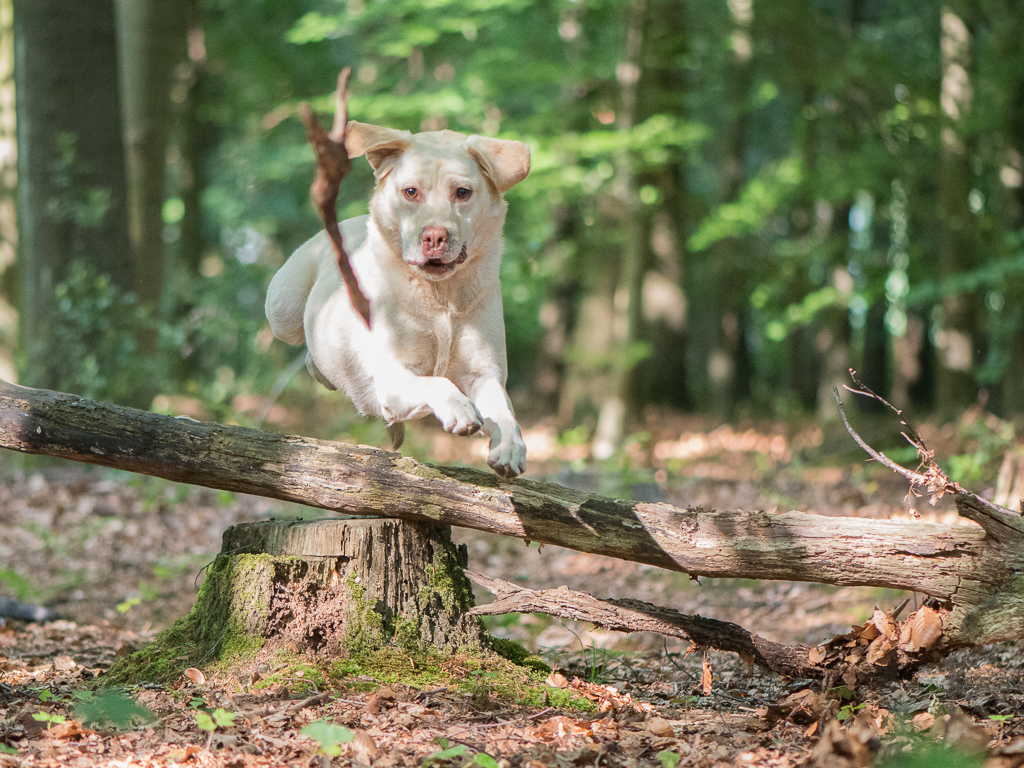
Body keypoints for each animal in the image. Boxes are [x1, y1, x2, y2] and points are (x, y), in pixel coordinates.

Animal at [264, 122, 528, 479]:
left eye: (462, 192)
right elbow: (436, 383)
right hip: (282, 310)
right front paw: (459, 409)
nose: (434, 237)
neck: (440, 296)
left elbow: (504, 412)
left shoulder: (484, 374)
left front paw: (510, 448)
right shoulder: (392, 378)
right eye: (411, 192)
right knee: (302, 343)